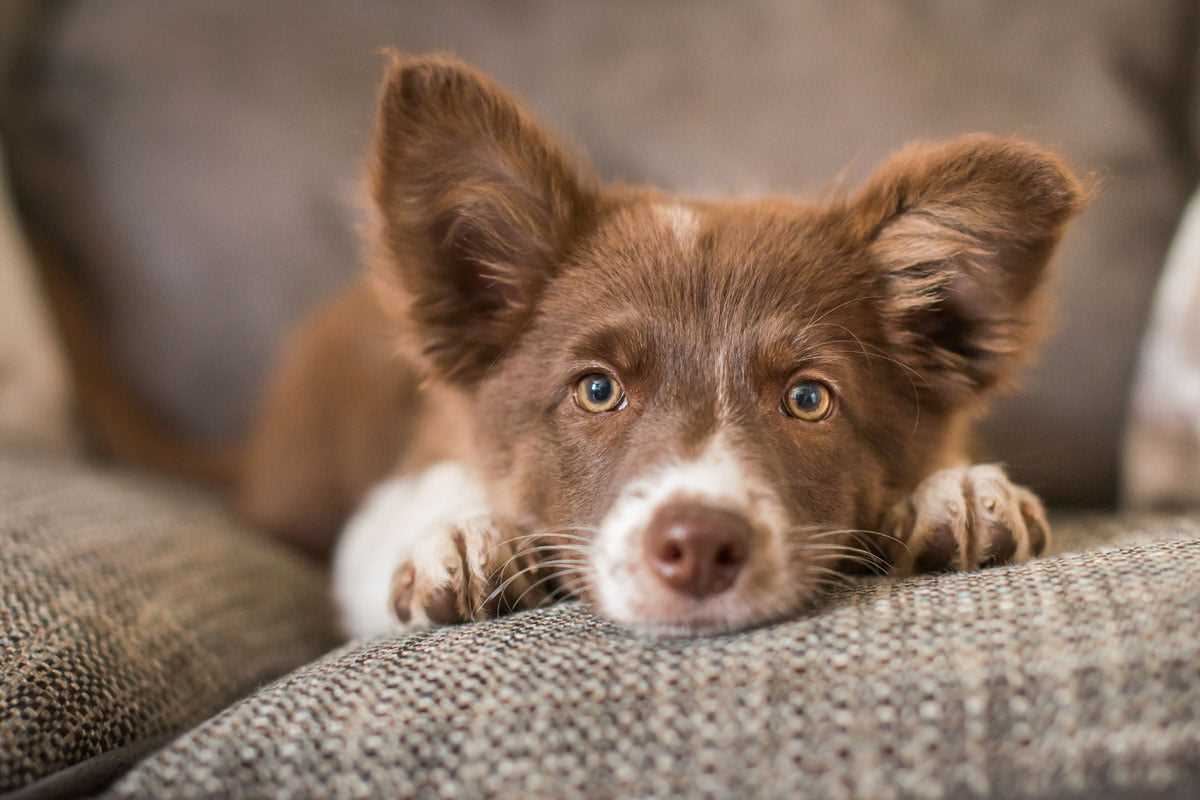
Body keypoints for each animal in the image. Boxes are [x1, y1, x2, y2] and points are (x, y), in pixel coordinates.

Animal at [238, 51, 1084, 638]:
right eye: (597, 389)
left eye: (808, 398)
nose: (700, 548)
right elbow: (415, 503)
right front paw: (458, 534)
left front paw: (958, 492)